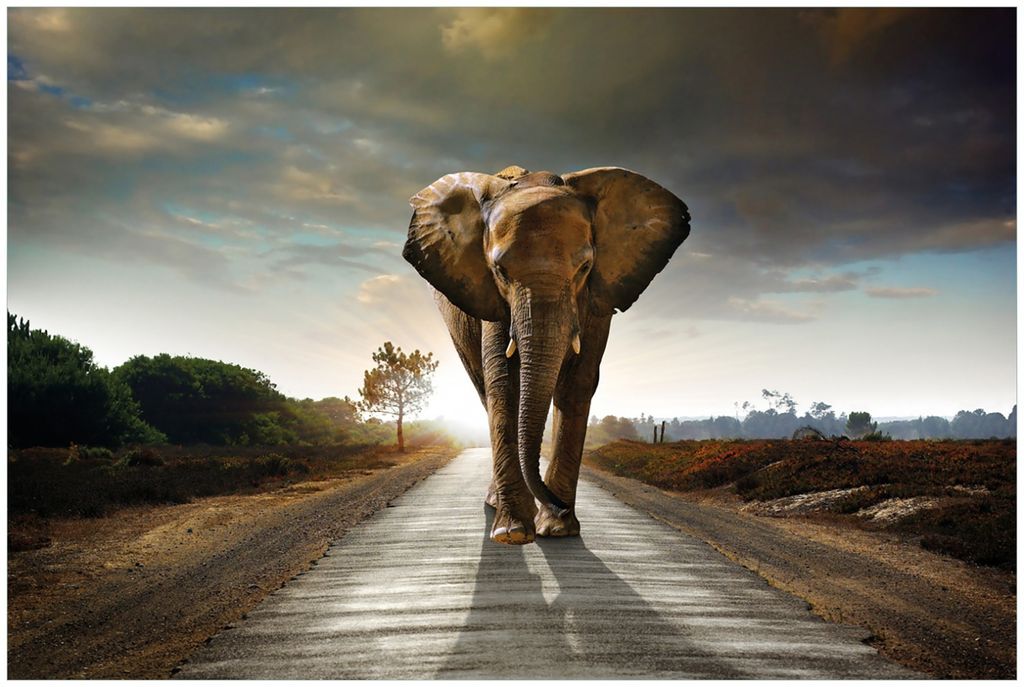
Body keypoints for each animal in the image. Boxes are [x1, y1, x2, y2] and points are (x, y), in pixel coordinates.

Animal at [403, 165, 689, 545]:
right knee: (484, 390)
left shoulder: (597, 297)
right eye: (500, 271)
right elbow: (504, 384)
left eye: (584, 267)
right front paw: (513, 532)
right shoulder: (492, 300)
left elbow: (577, 384)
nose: (559, 506)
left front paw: (557, 529)